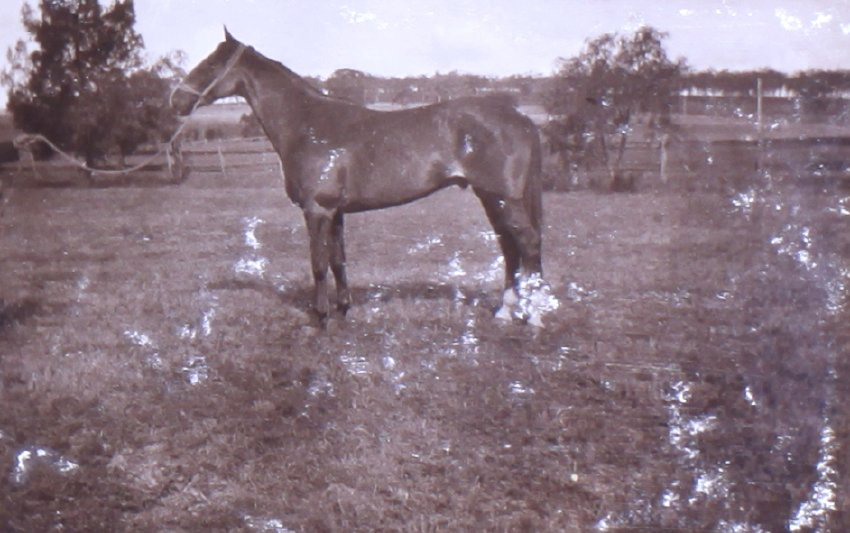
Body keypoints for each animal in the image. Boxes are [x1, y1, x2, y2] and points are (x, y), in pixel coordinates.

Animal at [171, 29, 548, 327]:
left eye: (211, 65)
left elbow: (318, 263)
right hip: (490, 197)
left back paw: (533, 317)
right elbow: (338, 261)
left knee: (528, 245)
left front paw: (321, 318)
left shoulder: (317, 209)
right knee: (509, 247)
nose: (176, 100)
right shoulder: (336, 211)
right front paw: (343, 311)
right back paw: (505, 312)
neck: (308, 124)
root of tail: (520, 118)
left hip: (504, 199)